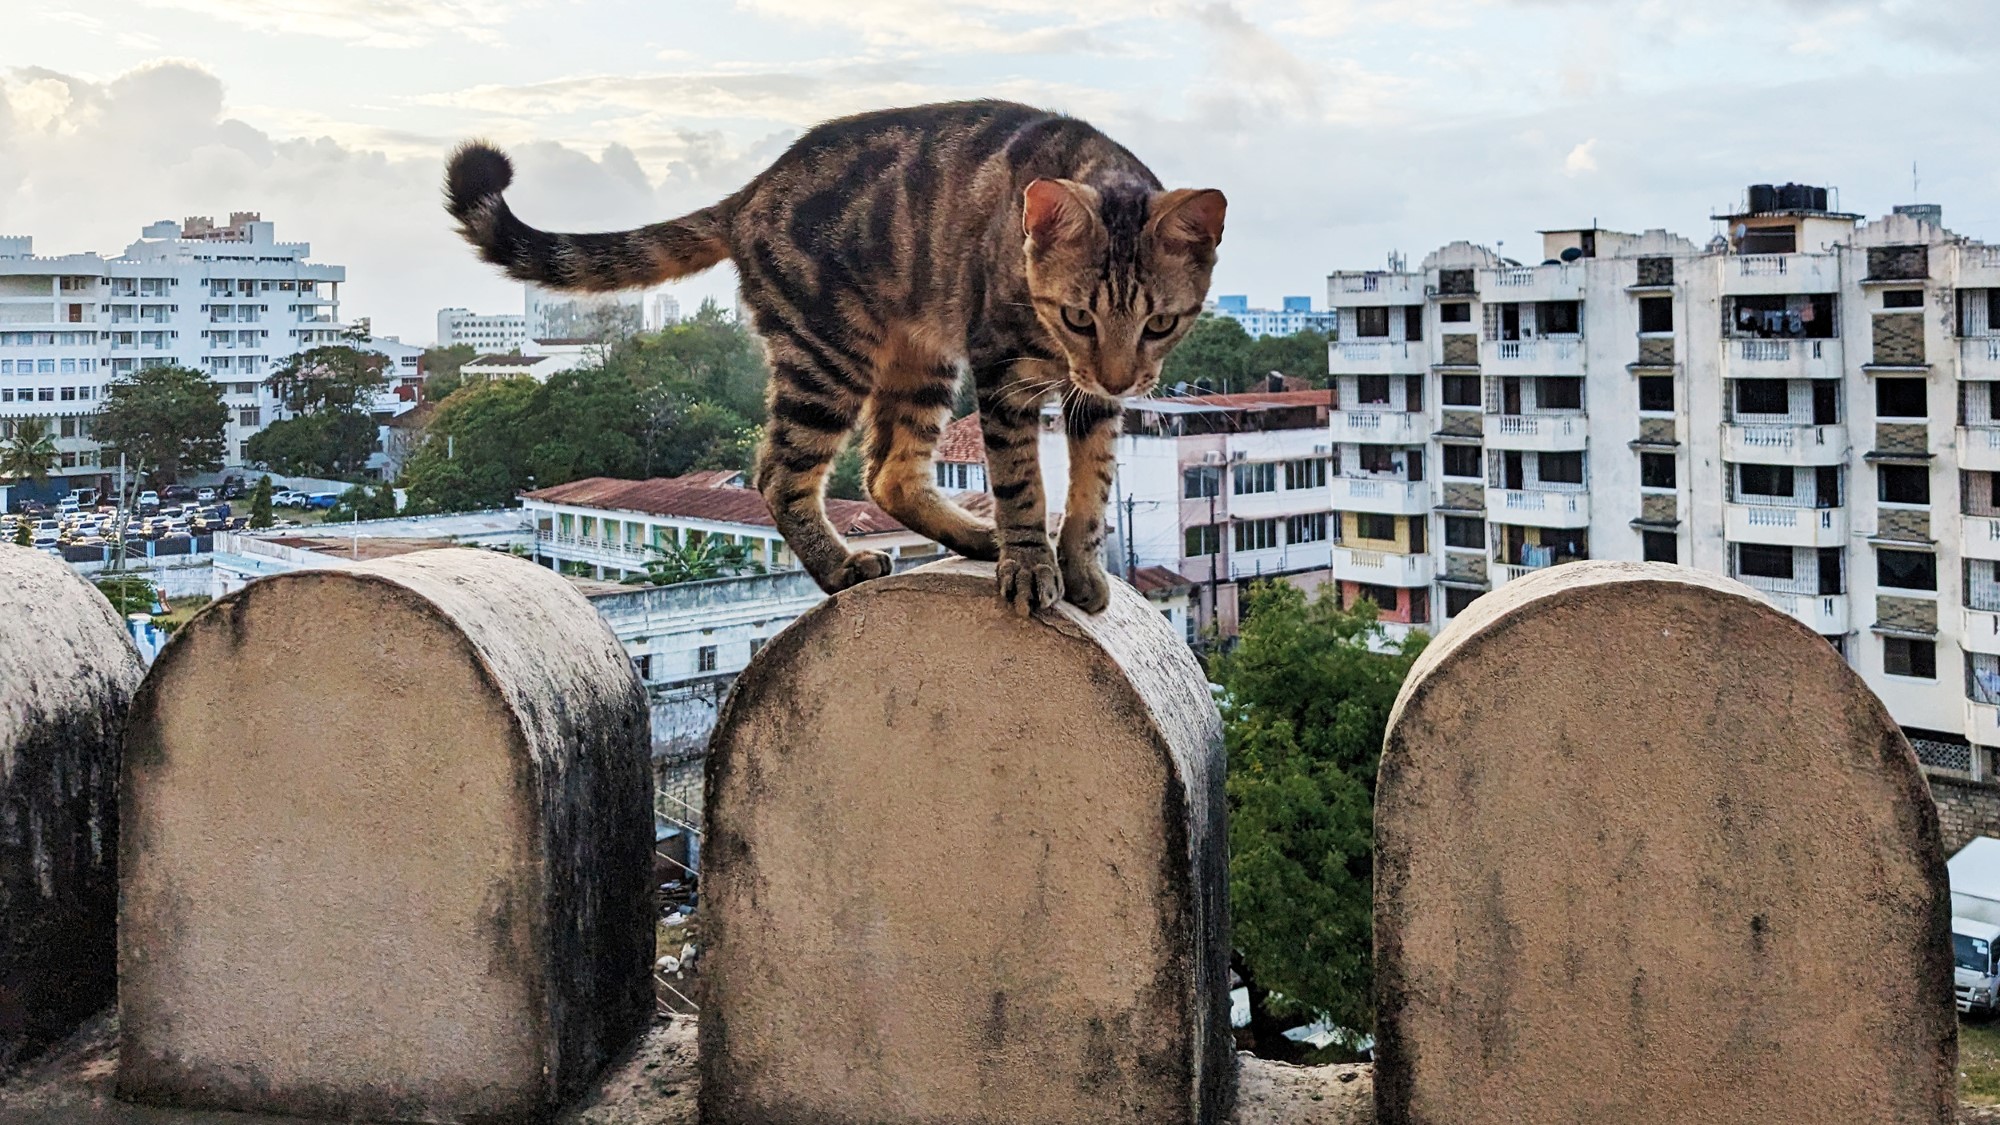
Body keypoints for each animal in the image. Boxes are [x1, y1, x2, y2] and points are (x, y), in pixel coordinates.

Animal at [448, 99, 1224, 612]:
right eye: (1076, 316)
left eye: (1160, 322)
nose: (1119, 374)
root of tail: (751, 193)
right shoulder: (1003, 371)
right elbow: (1023, 484)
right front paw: (1033, 563)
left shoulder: (1092, 398)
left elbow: (1093, 483)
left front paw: (1081, 564)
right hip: (829, 356)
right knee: (780, 473)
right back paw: (842, 569)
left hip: (918, 361)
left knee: (889, 474)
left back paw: (972, 538)